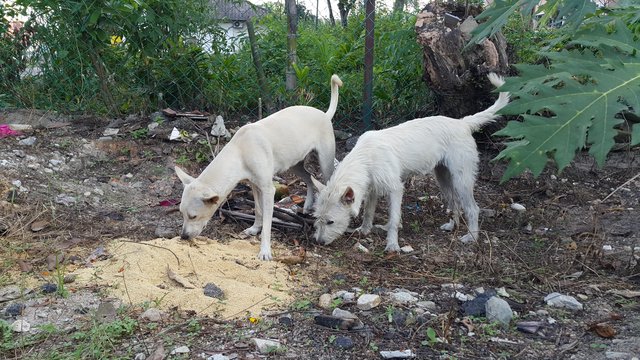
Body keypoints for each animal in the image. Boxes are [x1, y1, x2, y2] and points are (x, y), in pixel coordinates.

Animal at [175, 74, 342, 258]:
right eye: (181, 214)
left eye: (193, 216)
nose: (183, 237)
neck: (241, 150)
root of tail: (324, 114)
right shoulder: (255, 185)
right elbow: (257, 210)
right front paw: (255, 228)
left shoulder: (269, 190)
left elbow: (268, 224)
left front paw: (265, 250)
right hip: (294, 165)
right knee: (309, 179)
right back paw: (307, 205)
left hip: (325, 163)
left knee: (323, 182)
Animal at [312, 72, 508, 253]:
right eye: (317, 219)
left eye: (330, 222)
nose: (318, 242)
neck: (366, 158)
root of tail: (463, 123)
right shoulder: (373, 190)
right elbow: (368, 212)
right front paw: (364, 230)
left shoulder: (395, 190)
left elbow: (393, 220)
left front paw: (392, 245)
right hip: (443, 178)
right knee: (455, 204)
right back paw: (452, 226)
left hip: (462, 180)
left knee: (473, 209)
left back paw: (471, 237)